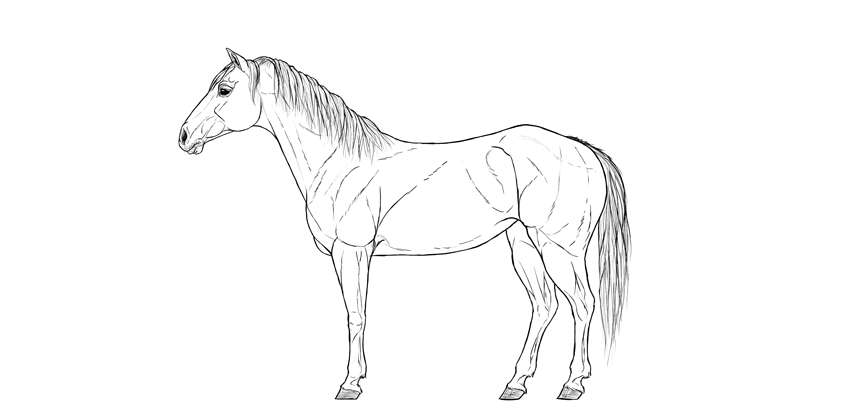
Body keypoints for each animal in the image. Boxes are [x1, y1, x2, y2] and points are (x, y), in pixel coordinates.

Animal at [178, 49, 630, 400]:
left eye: (224, 89)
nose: (183, 136)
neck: (339, 162)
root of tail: (582, 149)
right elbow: (358, 313)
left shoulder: (352, 251)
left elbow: (355, 315)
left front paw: (351, 384)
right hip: (523, 245)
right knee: (544, 304)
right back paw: (515, 384)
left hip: (559, 247)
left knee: (582, 303)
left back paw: (573, 384)